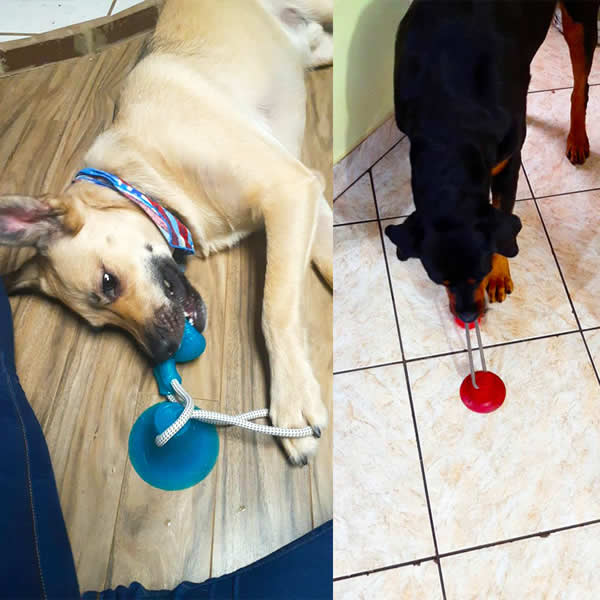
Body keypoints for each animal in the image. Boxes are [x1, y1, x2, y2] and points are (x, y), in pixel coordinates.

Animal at [386, 1, 596, 324]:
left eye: (480, 272)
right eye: (440, 280)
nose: (468, 316)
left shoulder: (508, 163)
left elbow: (502, 213)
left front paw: (499, 275)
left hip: (579, 19)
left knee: (580, 84)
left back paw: (577, 137)